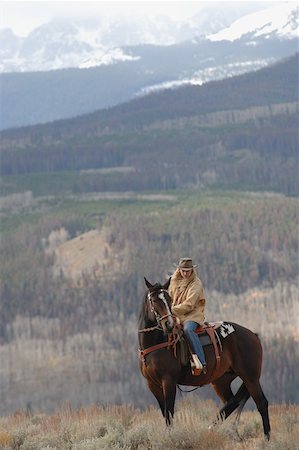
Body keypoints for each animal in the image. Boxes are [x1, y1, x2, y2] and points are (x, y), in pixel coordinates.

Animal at [139, 278, 272, 440]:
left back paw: (266, 439)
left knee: (261, 403)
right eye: (153, 300)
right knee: (232, 402)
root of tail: (253, 335)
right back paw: (211, 427)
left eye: (169, 299)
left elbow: (169, 412)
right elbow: (165, 413)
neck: (158, 344)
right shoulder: (152, 384)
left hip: (250, 377)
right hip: (221, 381)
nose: (169, 325)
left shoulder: (168, 381)